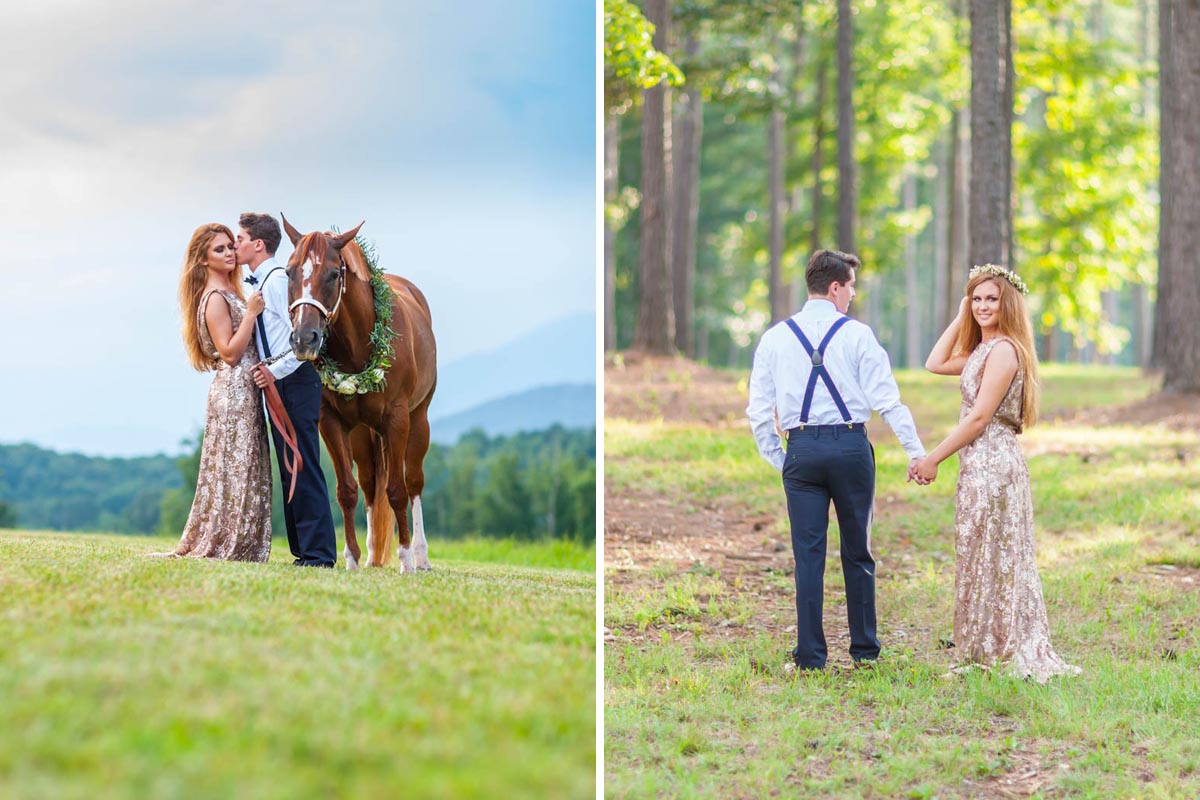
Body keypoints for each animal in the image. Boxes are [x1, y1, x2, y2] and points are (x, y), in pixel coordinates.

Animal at [279, 215, 436, 573]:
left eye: (334, 274)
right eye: (289, 272)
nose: (304, 338)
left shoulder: (397, 421)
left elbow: (397, 490)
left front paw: (405, 558)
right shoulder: (331, 423)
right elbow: (347, 491)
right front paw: (350, 557)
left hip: (418, 421)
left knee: (414, 482)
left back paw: (420, 556)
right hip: (363, 434)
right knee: (368, 482)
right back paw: (372, 552)